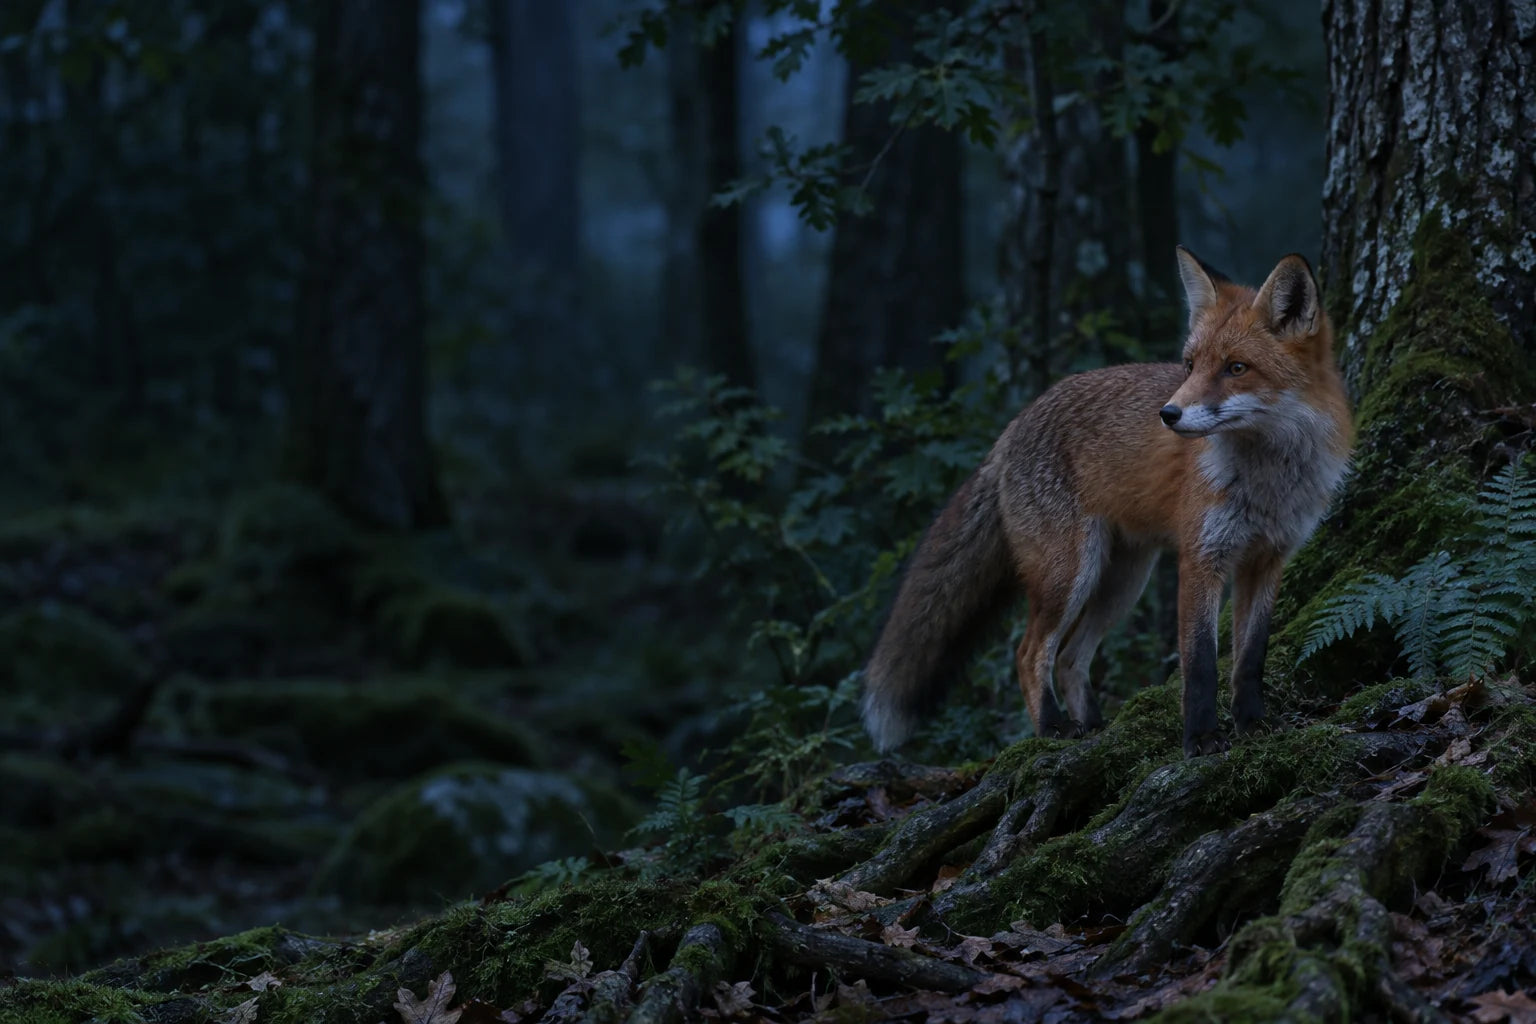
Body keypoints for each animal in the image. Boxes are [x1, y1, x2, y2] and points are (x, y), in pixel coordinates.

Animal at [862, 247, 1354, 759]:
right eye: (1189, 365)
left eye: (1236, 368)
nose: (1168, 414)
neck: (1268, 480)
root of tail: (1013, 426)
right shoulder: (1202, 557)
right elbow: (1200, 663)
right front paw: (1200, 738)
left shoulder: (1268, 558)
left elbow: (1250, 658)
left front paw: (1253, 723)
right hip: (1070, 573)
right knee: (1031, 653)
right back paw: (1053, 729)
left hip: (1121, 583)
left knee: (1070, 658)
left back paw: (1094, 727)